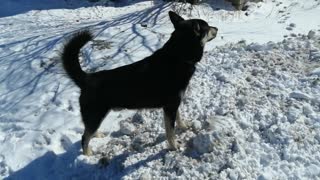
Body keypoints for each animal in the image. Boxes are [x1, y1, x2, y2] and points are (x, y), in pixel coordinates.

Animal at [62, 11, 218, 155]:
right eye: (208, 27)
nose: (216, 28)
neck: (178, 56)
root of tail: (86, 78)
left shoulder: (174, 104)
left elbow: (178, 119)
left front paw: (184, 127)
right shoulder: (170, 107)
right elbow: (170, 132)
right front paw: (174, 147)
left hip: (95, 116)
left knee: (89, 131)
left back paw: (97, 135)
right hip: (95, 114)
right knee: (84, 137)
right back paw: (87, 155)